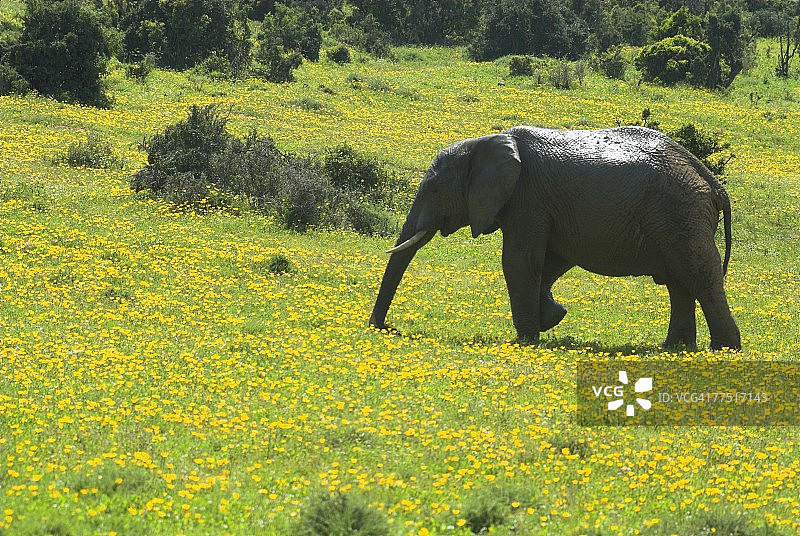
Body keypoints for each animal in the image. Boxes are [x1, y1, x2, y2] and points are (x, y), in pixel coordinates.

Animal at [369, 126, 741, 350]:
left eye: (433, 189)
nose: (381, 328)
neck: (487, 142)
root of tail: (713, 182)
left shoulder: (527, 198)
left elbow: (520, 260)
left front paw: (526, 340)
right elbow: (551, 260)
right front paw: (552, 317)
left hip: (682, 212)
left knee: (699, 275)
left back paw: (723, 349)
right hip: (677, 219)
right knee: (680, 281)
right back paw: (676, 349)